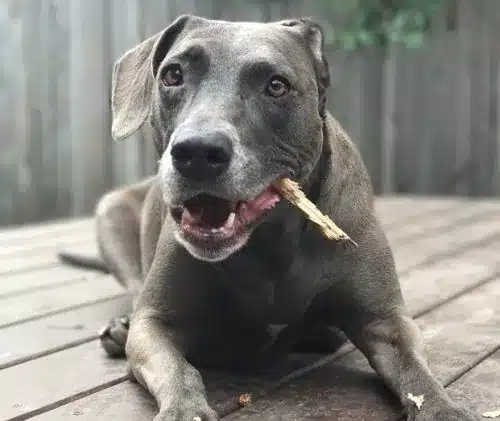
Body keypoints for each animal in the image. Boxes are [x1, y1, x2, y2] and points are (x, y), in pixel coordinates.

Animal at [58, 13, 484, 420]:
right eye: (173, 75)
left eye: (277, 85)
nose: (197, 152)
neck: (270, 237)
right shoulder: (156, 324)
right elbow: (177, 369)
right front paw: (183, 410)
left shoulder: (385, 321)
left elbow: (417, 373)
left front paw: (445, 409)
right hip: (111, 212)